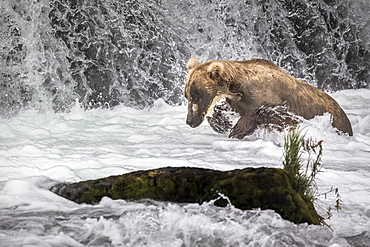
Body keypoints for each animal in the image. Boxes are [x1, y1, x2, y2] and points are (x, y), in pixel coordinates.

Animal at [185, 57, 352, 137]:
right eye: (187, 95)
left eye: (196, 95)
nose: (189, 121)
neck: (236, 87)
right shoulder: (236, 99)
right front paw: (223, 123)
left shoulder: (267, 94)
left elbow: (271, 110)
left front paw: (237, 130)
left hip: (336, 121)